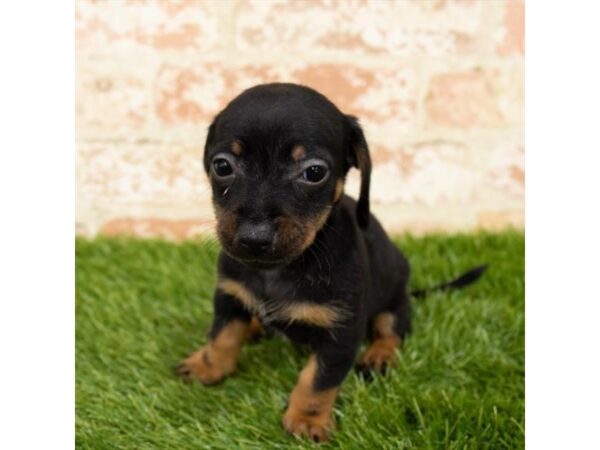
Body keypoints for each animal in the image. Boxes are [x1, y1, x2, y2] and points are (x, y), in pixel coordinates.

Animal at [176, 82, 486, 442]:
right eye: (222, 166)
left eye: (314, 172)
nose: (254, 236)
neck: (281, 269)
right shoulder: (229, 297)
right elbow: (222, 337)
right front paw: (207, 366)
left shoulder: (342, 332)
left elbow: (317, 380)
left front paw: (307, 419)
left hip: (394, 299)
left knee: (393, 329)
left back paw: (379, 356)